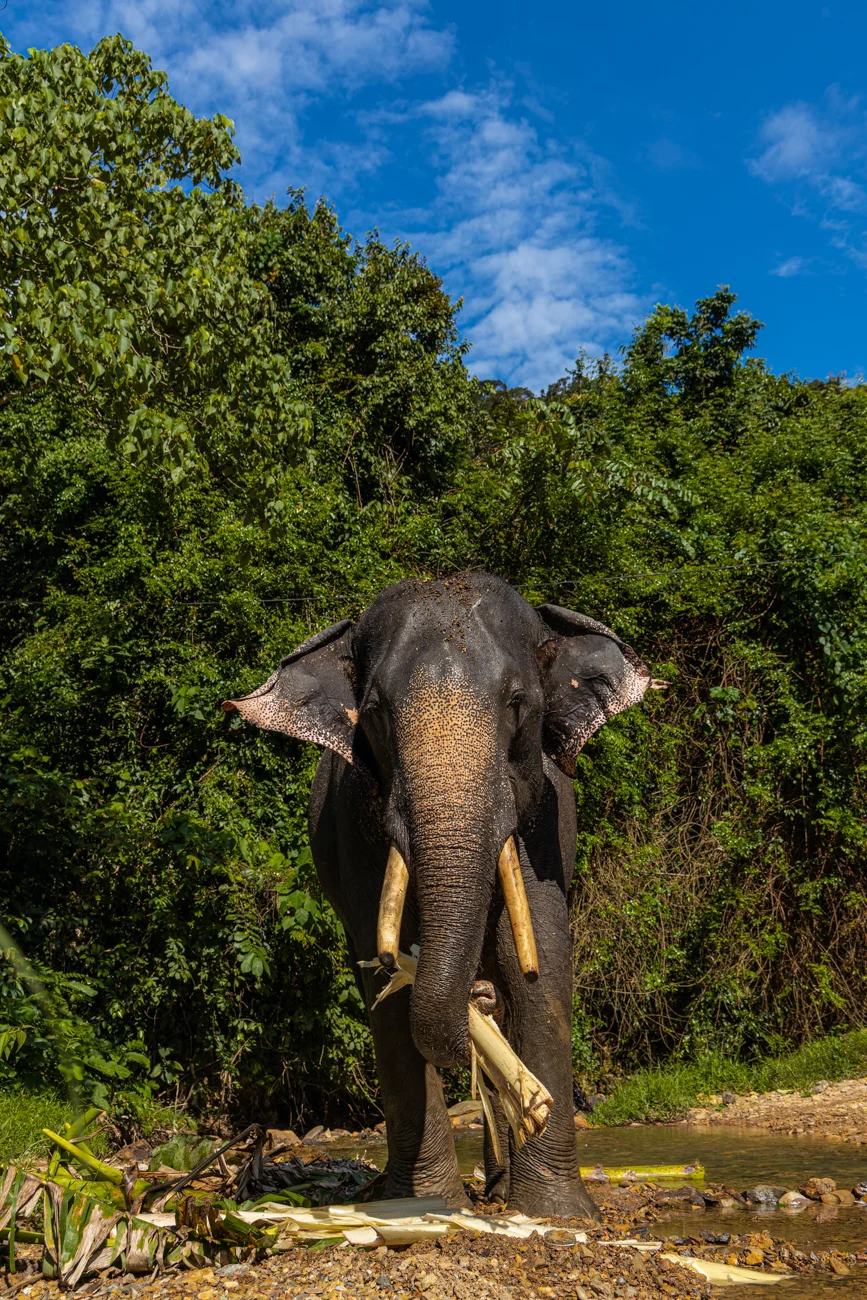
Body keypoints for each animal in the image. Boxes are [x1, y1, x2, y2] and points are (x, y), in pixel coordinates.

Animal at [224, 572, 660, 1219]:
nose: (475, 999)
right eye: (375, 714)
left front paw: (555, 1213)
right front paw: (422, 1205)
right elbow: (386, 980)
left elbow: (541, 960)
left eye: (517, 704)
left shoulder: (543, 817)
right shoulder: (355, 826)